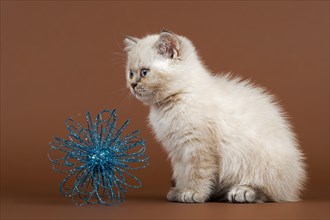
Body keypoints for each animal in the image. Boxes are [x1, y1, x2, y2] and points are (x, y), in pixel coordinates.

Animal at [124, 29, 306, 203]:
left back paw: (243, 192)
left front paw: (193, 193)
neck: (176, 99)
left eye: (144, 72)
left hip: (258, 161)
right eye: (131, 73)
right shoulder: (177, 151)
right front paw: (180, 191)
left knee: (271, 192)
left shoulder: (199, 147)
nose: (132, 85)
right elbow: (182, 174)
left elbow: (198, 172)